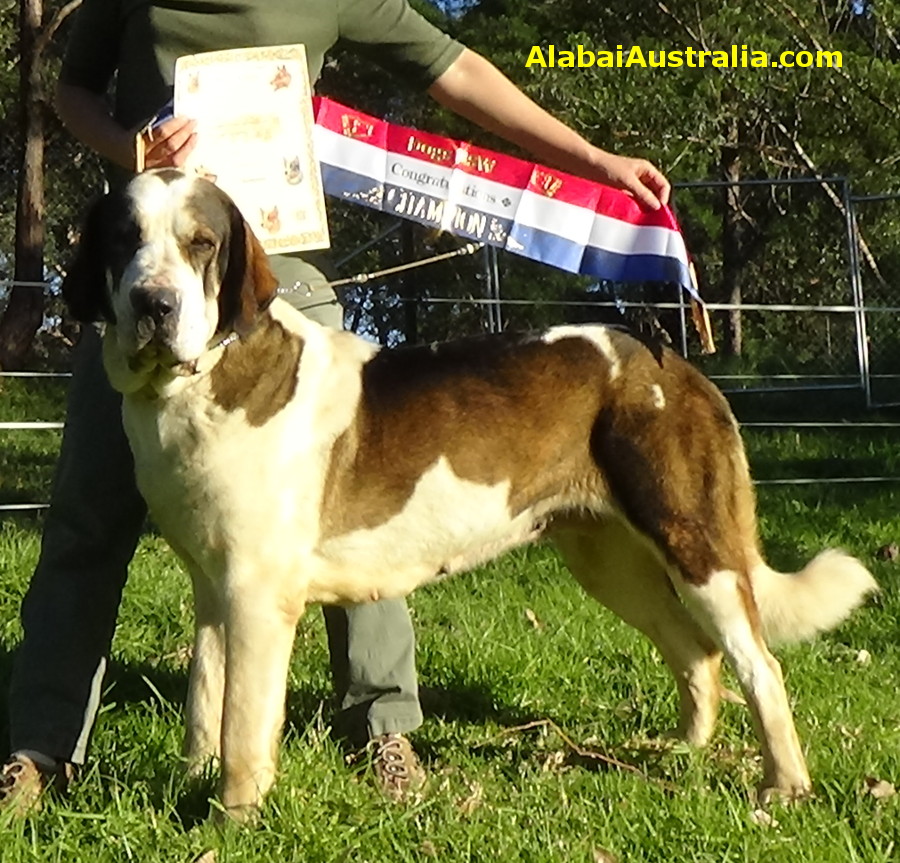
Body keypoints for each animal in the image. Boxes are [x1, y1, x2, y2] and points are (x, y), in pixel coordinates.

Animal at [65, 167, 880, 816]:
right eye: (124, 241)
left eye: (201, 244)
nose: (154, 304)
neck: (196, 385)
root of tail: (672, 362)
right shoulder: (212, 588)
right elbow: (206, 700)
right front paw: (191, 784)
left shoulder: (258, 595)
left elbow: (241, 722)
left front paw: (231, 817)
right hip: (608, 558)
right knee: (696, 651)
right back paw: (682, 754)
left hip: (694, 541)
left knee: (759, 664)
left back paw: (783, 787)